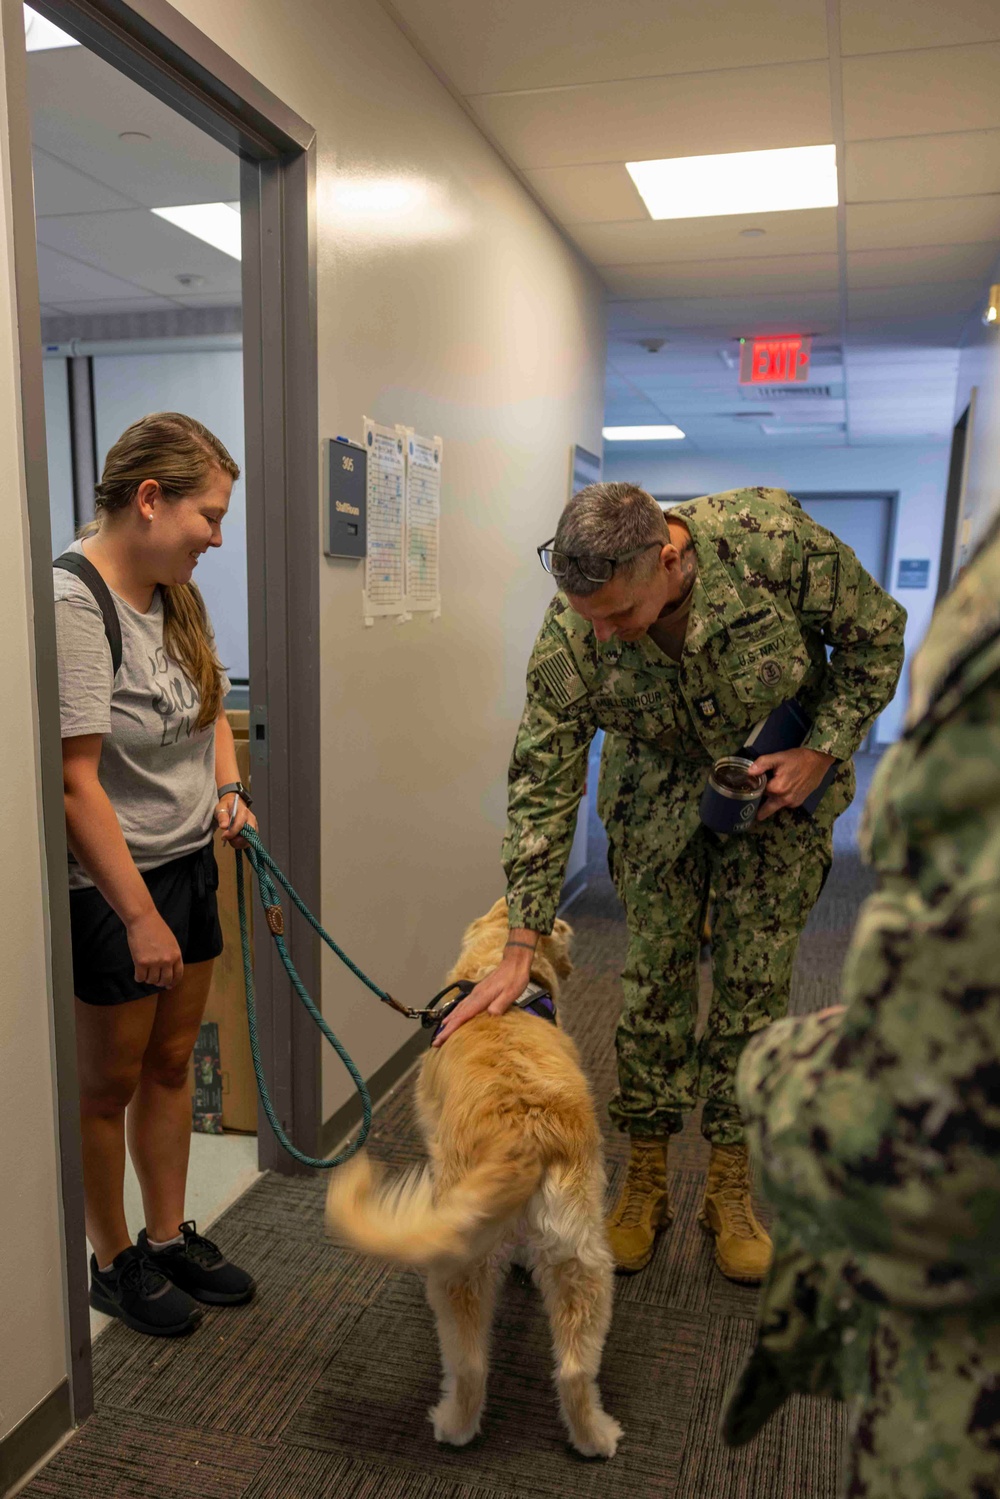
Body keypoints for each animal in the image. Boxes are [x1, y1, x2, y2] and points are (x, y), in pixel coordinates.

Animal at [325, 893, 620, 1457]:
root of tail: (524, 1134)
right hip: (583, 1264)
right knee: (574, 1370)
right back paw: (595, 1436)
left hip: (460, 1268)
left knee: (471, 1366)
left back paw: (454, 1426)